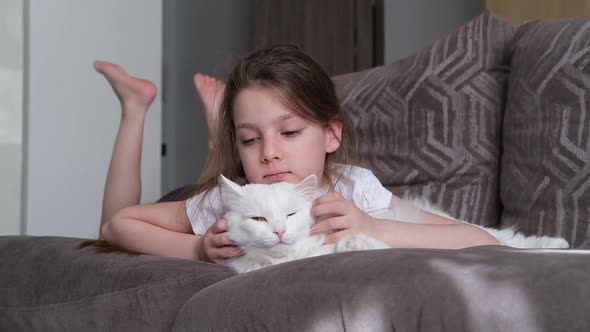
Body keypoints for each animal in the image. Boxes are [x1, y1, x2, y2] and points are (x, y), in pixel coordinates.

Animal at [220, 175, 572, 274]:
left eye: (291, 215)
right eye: (259, 219)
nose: (279, 231)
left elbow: (355, 242)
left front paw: (359, 245)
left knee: (506, 237)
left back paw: (560, 245)